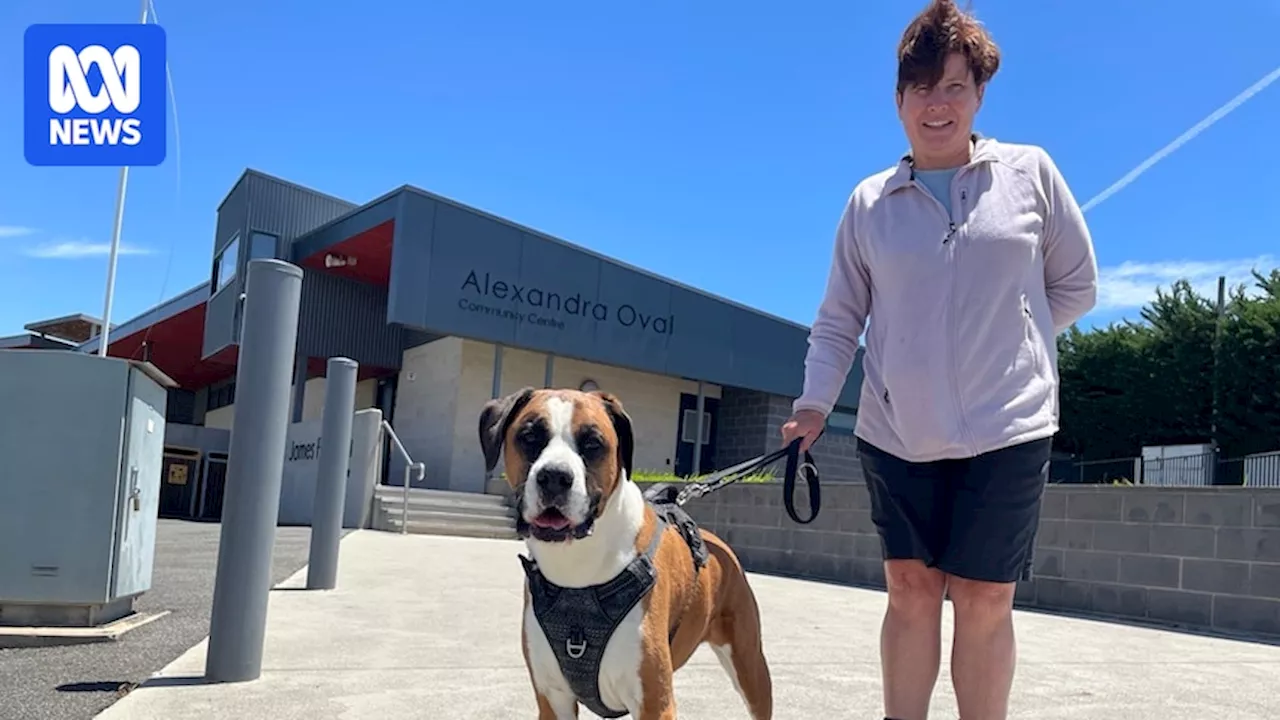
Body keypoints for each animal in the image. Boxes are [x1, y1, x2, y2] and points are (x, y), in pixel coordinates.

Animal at [478, 386, 768, 717]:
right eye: (529, 436)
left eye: (592, 443)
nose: (554, 476)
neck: (577, 566)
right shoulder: (553, 700)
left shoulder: (654, 703)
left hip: (751, 667)